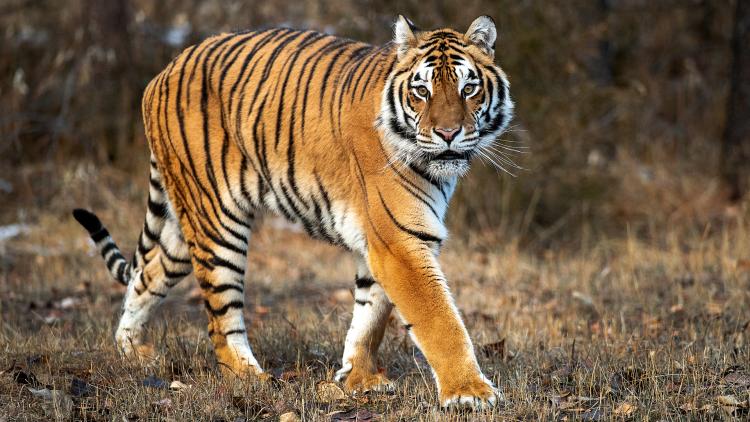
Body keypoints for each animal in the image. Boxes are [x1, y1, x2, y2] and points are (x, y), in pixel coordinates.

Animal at [73, 15, 513, 408]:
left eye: (468, 88)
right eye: (421, 91)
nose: (448, 134)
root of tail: (164, 70)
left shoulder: (381, 240)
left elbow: (370, 314)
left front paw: (358, 379)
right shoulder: (400, 240)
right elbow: (440, 320)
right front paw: (470, 393)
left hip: (184, 224)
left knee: (148, 274)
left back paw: (133, 350)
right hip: (217, 223)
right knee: (220, 318)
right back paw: (250, 377)